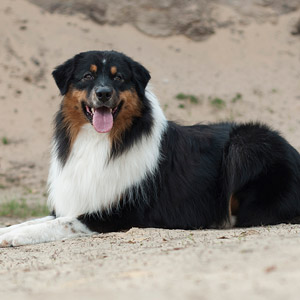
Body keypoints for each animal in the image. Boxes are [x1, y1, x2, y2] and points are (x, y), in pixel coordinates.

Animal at [0, 51, 300, 246]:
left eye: (119, 78)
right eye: (87, 76)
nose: (103, 94)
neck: (100, 140)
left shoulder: (117, 214)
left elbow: (60, 223)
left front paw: (15, 237)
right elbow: (34, 220)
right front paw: (8, 230)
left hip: (245, 143)